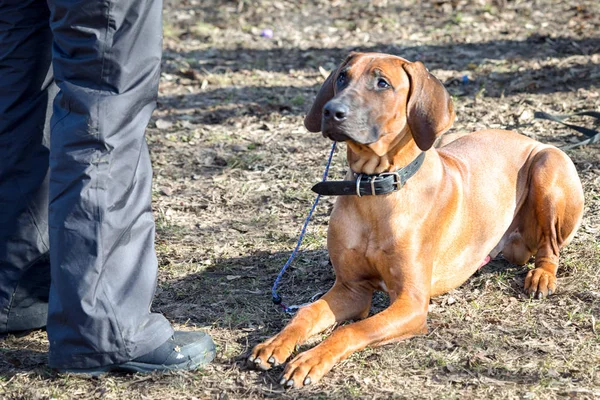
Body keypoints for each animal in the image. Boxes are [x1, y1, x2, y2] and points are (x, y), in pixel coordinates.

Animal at [246, 52, 584, 388]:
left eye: (382, 83)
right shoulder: (351, 289)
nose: (331, 110)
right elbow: (306, 313)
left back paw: (541, 276)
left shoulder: (411, 302)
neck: (375, 192)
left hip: (548, 163)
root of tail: (523, 137)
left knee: (551, 246)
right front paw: (276, 343)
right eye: (342, 77)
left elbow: (353, 329)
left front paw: (310, 360)